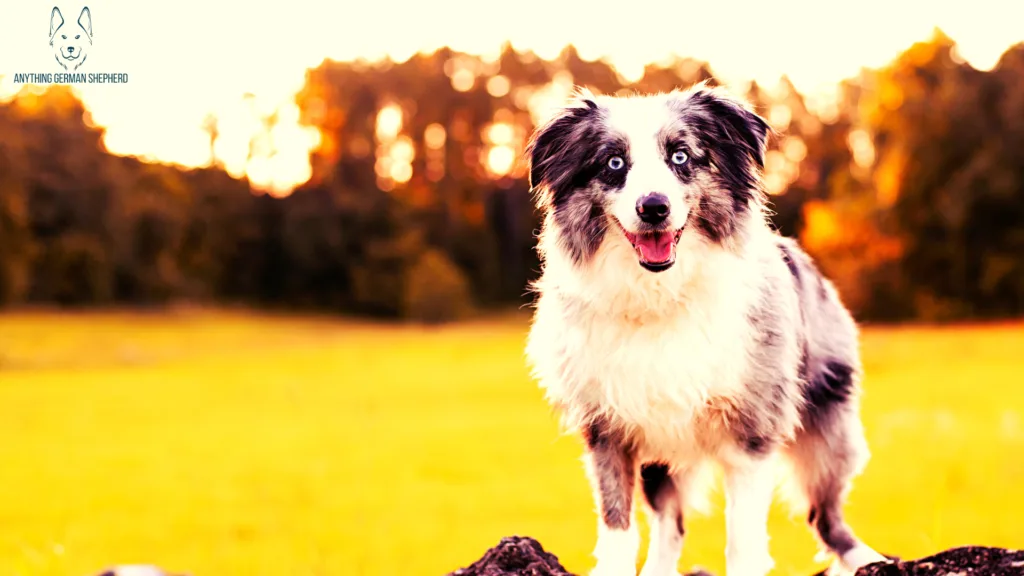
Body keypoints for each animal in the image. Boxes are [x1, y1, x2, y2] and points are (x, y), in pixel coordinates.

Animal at [528, 83, 888, 573]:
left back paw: (868, 557)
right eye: (614, 163)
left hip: (829, 428)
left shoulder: (753, 430)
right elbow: (618, 525)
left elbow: (742, 538)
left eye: (681, 156)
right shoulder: (607, 429)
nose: (654, 207)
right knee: (671, 522)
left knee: (825, 514)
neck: (659, 294)